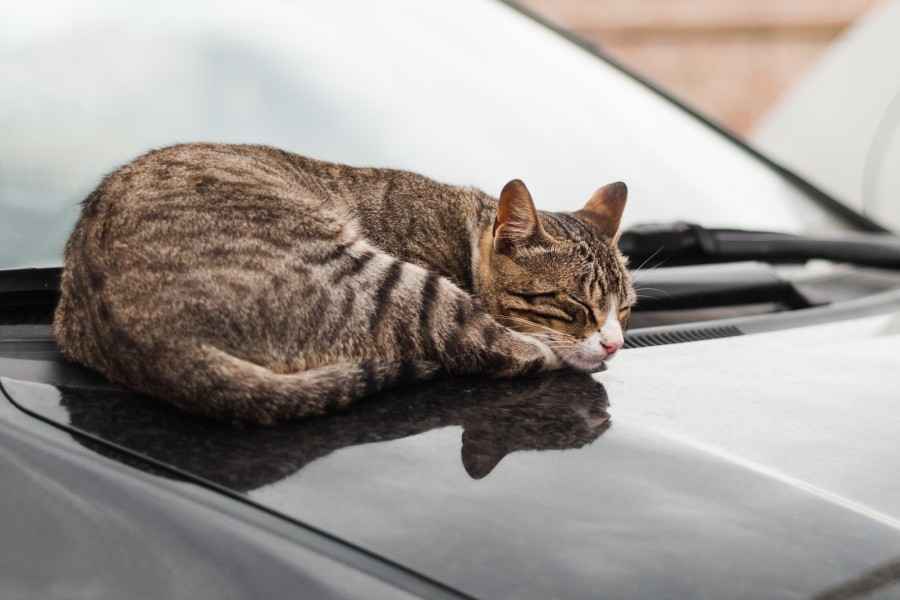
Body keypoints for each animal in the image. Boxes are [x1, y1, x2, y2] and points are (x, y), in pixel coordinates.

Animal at [54, 143, 632, 424]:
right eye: (575, 305)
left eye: (624, 310)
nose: (615, 342)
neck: (464, 229)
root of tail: (152, 341)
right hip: (387, 281)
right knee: (487, 344)